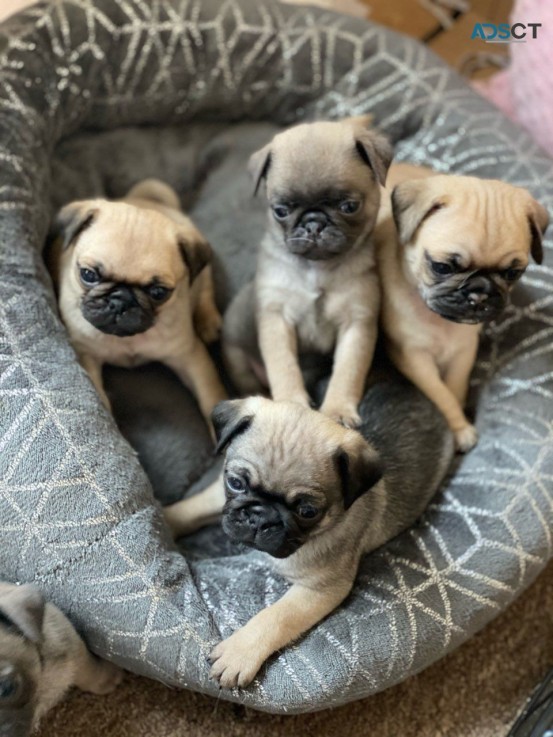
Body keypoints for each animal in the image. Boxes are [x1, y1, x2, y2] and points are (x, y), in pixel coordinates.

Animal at [48, 178, 225, 426]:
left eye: (159, 292)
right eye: (88, 275)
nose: (120, 300)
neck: (128, 340)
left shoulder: (190, 356)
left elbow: (211, 398)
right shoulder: (86, 355)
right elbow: (98, 397)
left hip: (202, 274)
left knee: (205, 291)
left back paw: (208, 322)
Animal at [163, 380, 452, 688]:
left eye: (307, 511)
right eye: (235, 483)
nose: (259, 517)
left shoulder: (319, 589)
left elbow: (276, 616)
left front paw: (239, 653)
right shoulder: (219, 494)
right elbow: (192, 508)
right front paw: (162, 515)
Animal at [221, 114, 392, 426]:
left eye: (349, 206)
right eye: (281, 211)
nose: (314, 222)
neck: (317, 268)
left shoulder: (356, 324)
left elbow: (347, 373)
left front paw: (337, 410)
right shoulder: (277, 320)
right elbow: (285, 368)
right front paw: (290, 403)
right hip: (238, 358)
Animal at [376, 165, 548, 452]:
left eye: (512, 273)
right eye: (442, 267)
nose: (479, 293)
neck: (439, 321)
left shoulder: (464, 352)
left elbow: (455, 387)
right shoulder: (414, 359)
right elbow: (441, 394)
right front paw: (459, 429)